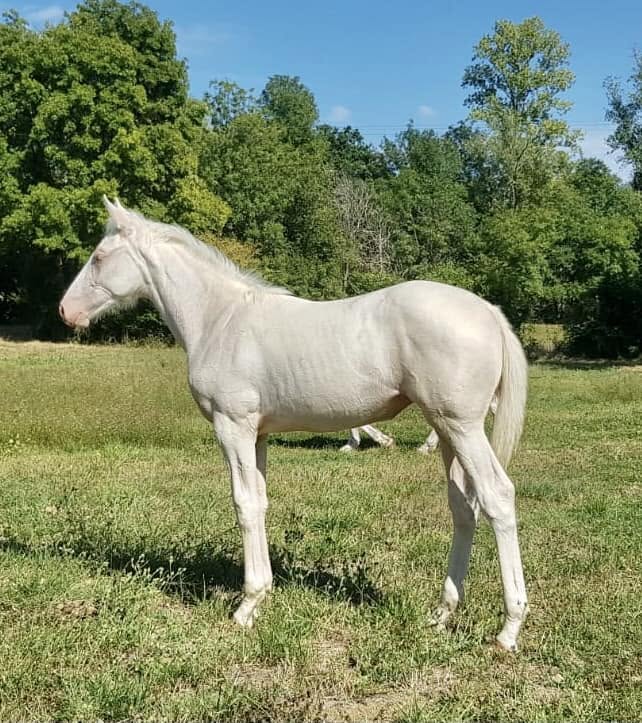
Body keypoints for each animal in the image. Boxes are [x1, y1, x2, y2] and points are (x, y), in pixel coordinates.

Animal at [59, 198, 529, 651]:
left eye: (99, 256)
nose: (66, 311)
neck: (220, 320)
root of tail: (487, 311)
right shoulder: (258, 434)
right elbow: (261, 501)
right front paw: (262, 595)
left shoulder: (233, 427)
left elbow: (245, 504)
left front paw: (246, 606)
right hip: (448, 431)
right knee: (464, 508)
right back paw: (442, 614)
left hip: (462, 428)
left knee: (497, 496)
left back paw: (508, 629)